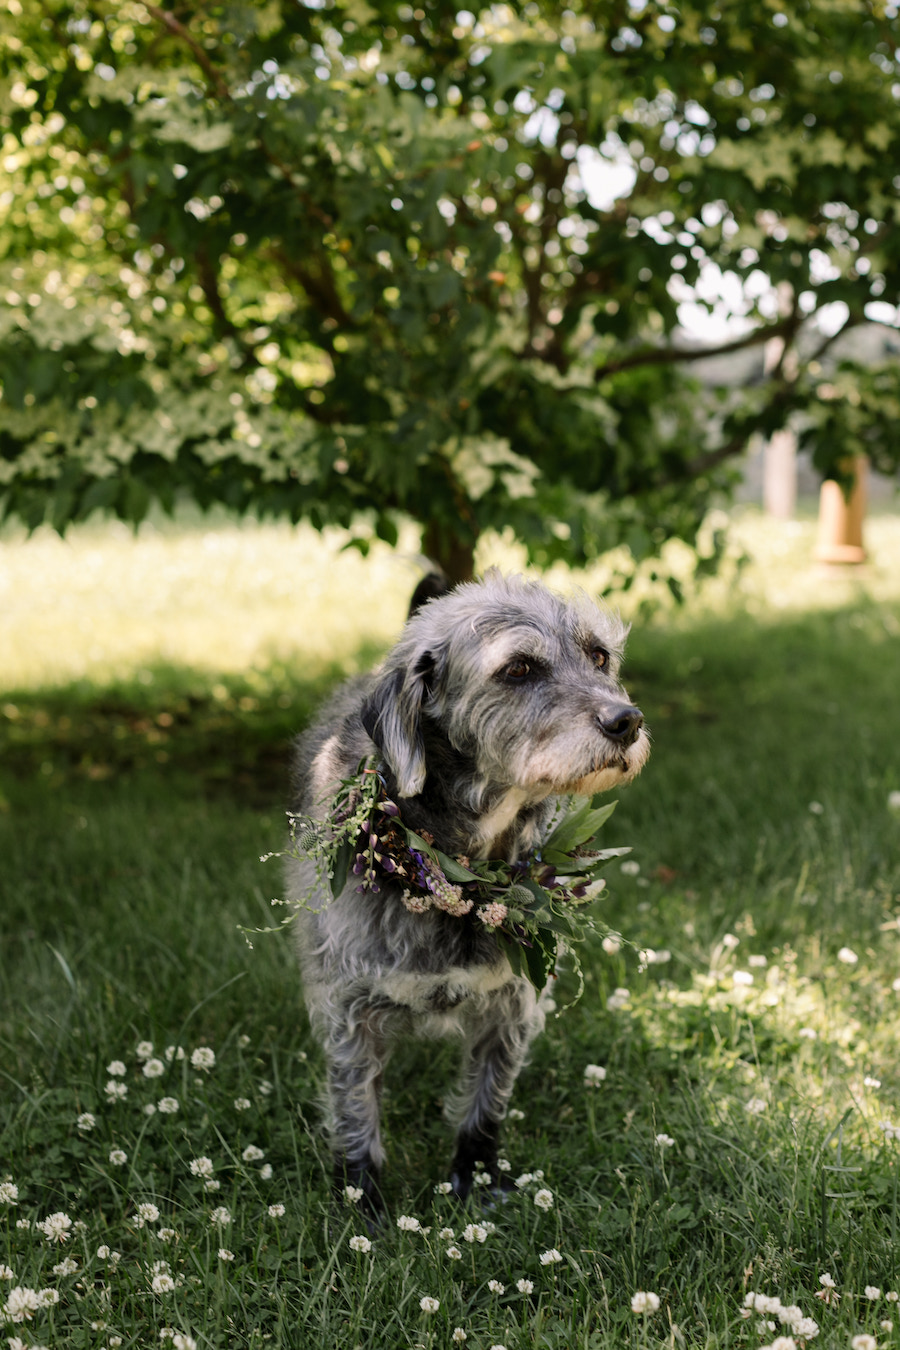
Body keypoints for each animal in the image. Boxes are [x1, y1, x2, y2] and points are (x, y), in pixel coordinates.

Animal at [287, 564, 647, 1220]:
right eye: (519, 669)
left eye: (599, 655)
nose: (626, 721)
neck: (463, 877)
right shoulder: (349, 1012)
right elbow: (356, 1110)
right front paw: (363, 1201)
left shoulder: (512, 1007)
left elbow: (486, 1102)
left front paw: (477, 1178)